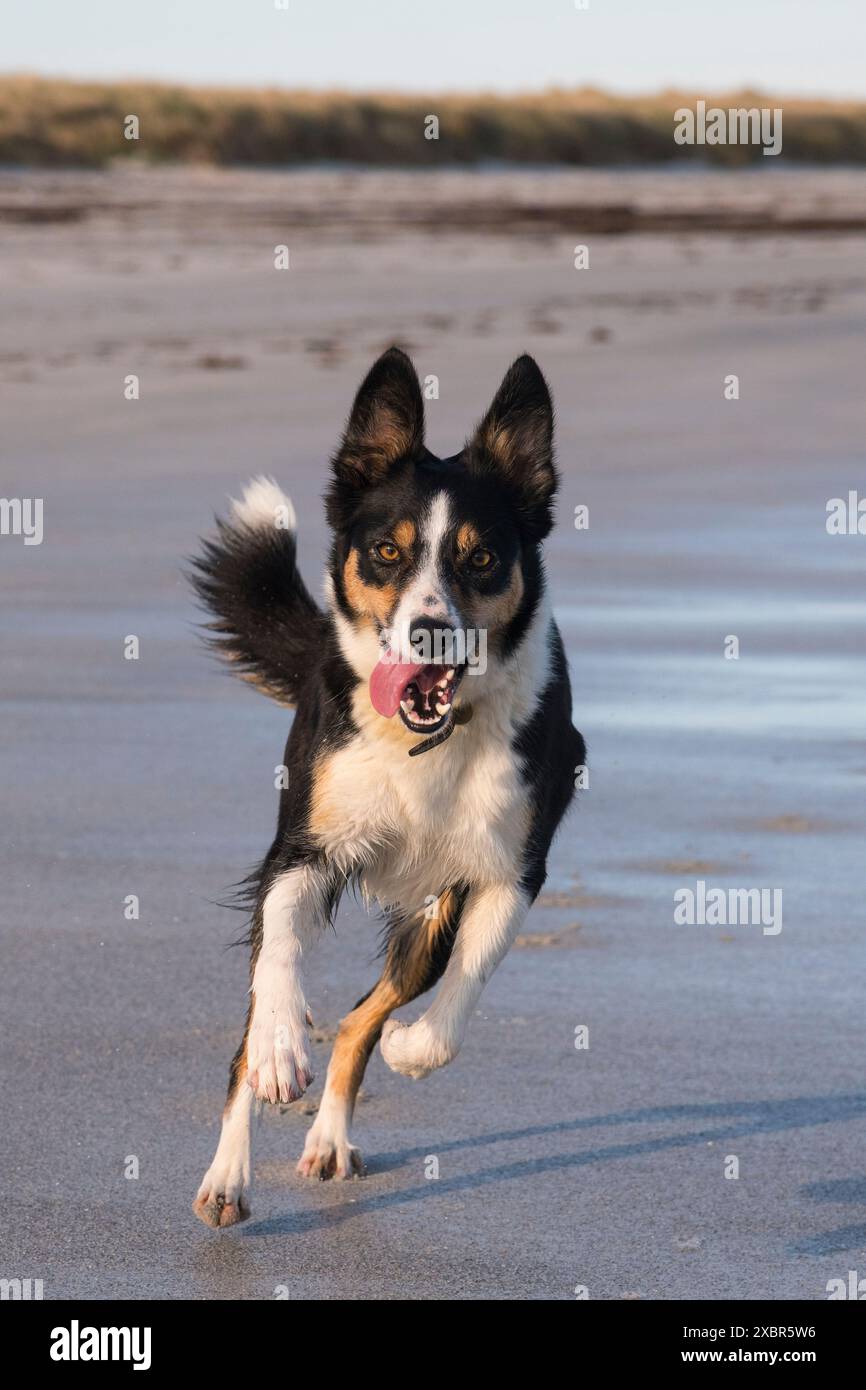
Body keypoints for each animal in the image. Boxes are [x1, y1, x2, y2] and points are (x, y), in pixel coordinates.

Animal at [189, 347, 583, 1228]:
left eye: (481, 558)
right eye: (388, 553)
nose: (429, 631)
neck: (424, 742)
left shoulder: (508, 873)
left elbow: (451, 1003)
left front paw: (413, 1047)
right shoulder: (300, 850)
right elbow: (279, 956)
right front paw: (279, 1046)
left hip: (427, 915)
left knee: (362, 1018)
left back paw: (331, 1135)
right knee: (251, 1035)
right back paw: (229, 1174)